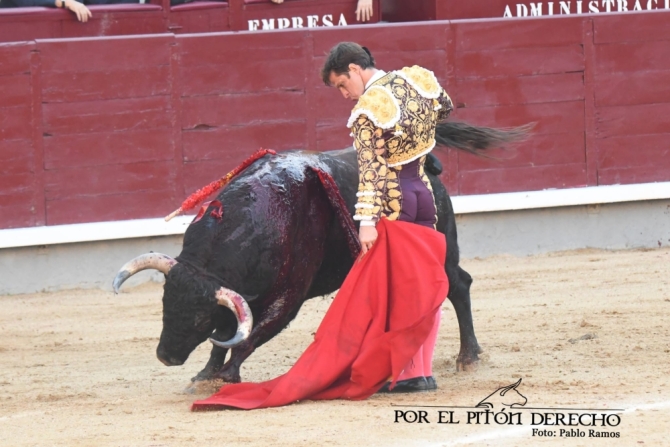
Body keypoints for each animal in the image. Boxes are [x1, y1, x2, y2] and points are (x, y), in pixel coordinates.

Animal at [115, 148, 484, 384]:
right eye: (165, 305)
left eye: (199, 318)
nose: (166, 355)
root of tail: (427, 167)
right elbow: (225, 335)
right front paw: (206, 374)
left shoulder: (289, 297)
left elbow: (247, 335)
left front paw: (225, 376)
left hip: (442, 251)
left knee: (458, 285)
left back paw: (468, 357)